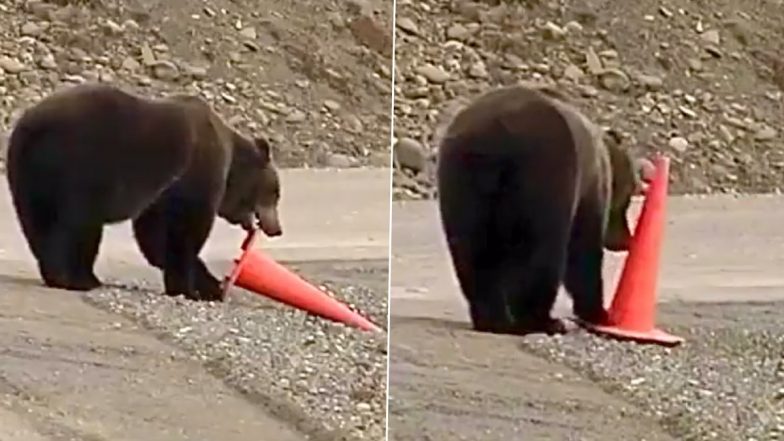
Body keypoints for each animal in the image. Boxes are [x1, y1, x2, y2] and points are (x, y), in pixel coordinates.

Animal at [6, 82, 284, 300]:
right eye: (275, 193)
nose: (277, 229)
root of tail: (32, 125)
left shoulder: (161, 194)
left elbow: (155, 237)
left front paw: (209, 286)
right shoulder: (196, 173)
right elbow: (186, 230)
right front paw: (191, 289)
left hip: (26, 175)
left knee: (37, 222)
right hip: (81, 165)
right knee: (77, 225)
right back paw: (75, 278)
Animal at [438, 83, 652, 334]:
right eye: (627, 199)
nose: (626, 240)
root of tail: (494, 134)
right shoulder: (587, 187)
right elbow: (583, 249)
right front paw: (600, 312)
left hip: (462, 181)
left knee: (473, 250)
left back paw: (492, 319)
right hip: (545, 171)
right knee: (542, 249)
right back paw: (542, 320)